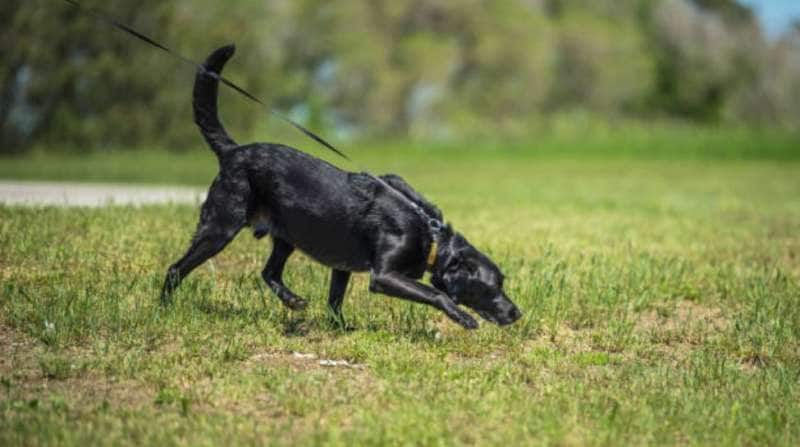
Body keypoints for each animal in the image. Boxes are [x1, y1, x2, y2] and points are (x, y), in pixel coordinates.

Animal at [161, 45, 524, 328]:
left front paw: (340, 328)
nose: (517, 313)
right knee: (175, 269)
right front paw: (463, 317)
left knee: (269, 272)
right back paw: (164, 309)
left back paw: (293, 301)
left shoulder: (342, 266)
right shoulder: (384, 276)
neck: (431, 236)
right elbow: (435, 293)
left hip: (288, 233)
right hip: (220, 227)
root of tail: (232, 151)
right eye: (492, 287)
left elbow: (335, 300)